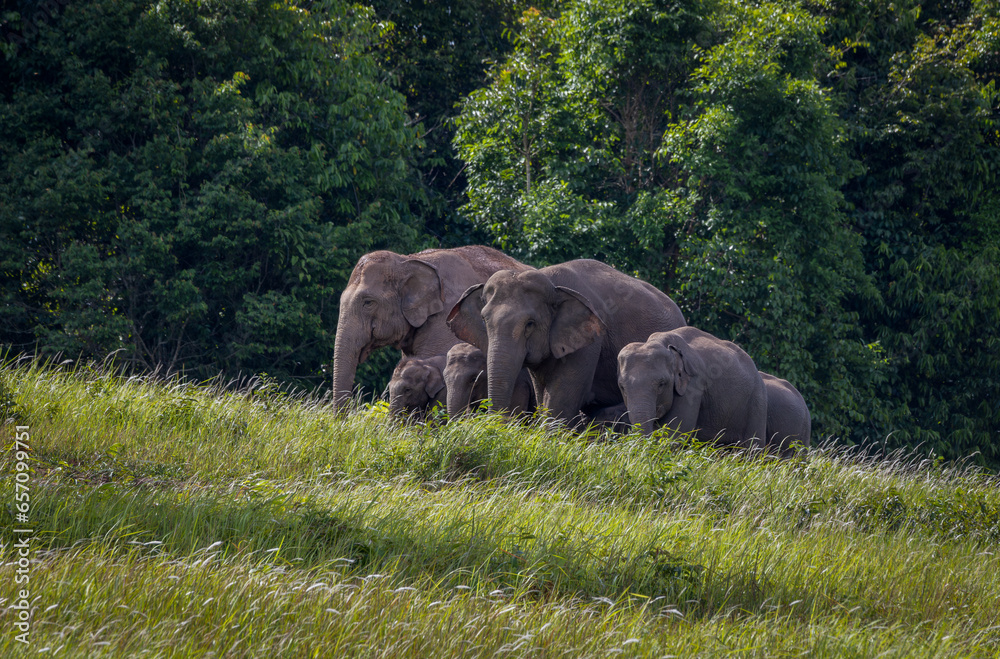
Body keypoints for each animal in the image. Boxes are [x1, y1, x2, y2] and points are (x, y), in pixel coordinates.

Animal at [447, 259, 686, 422]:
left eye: (530, 324)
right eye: (484, 320)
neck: (553, 285)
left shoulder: (590, 340)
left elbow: (560, 400)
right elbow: (543, 395)